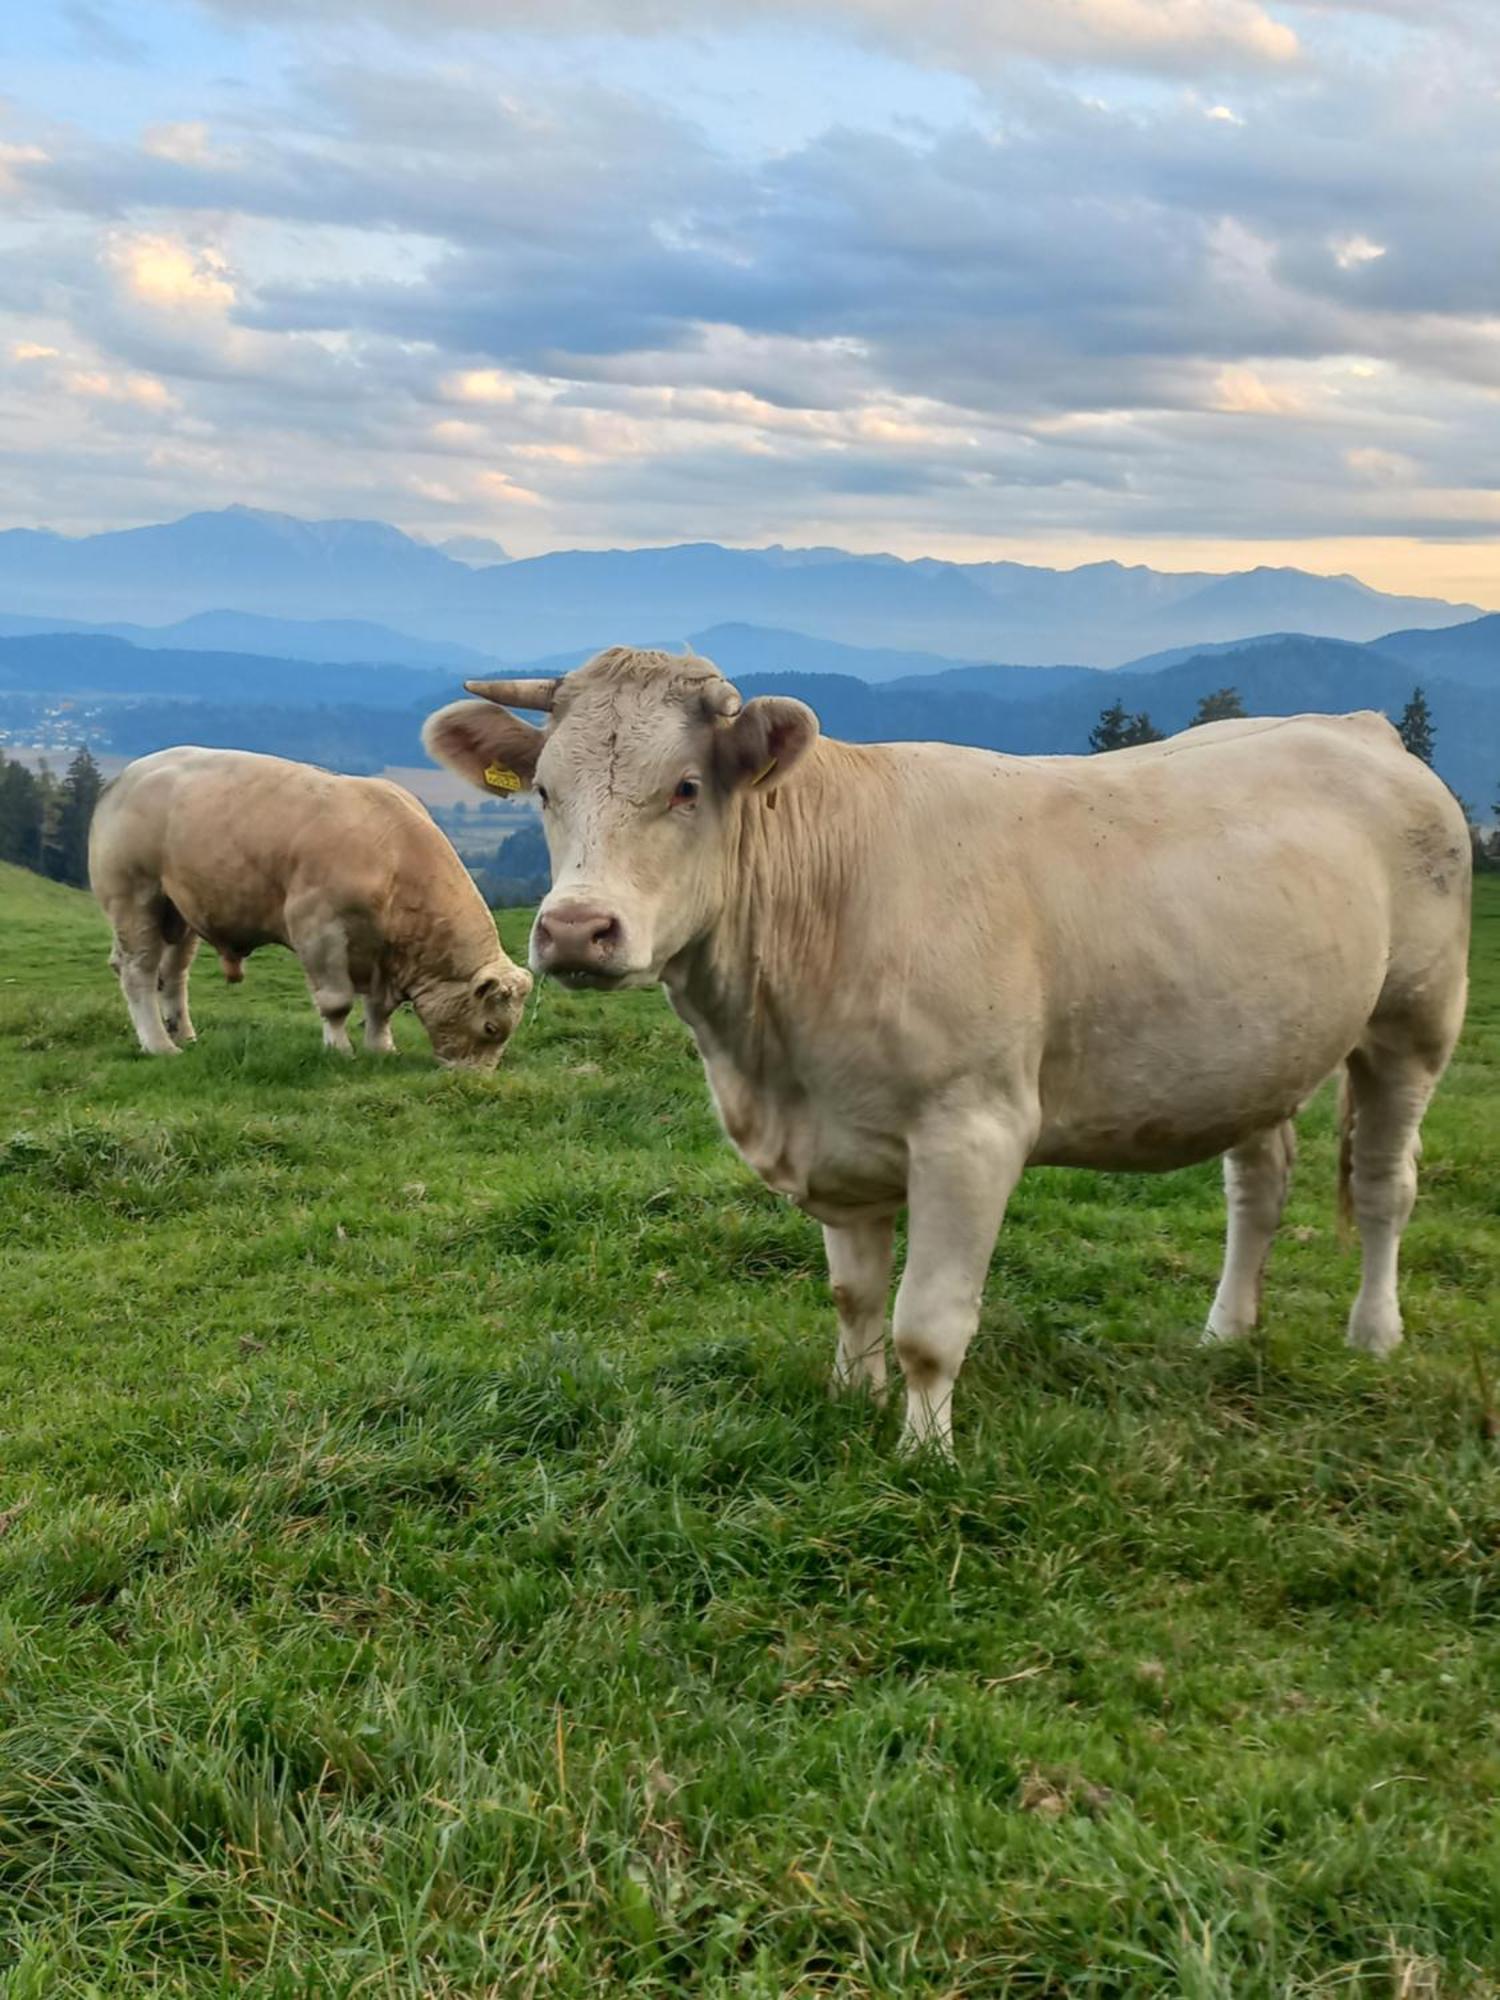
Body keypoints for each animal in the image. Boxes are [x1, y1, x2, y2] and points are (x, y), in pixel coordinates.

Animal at [89, 748, 536, 1064]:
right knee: (139, 971)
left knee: (172, 975)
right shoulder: (318, 929)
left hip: (179, 911)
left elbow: (380, 1009)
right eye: (491, 1028)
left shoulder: (383, 957)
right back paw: (160, 1045)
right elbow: (337, 1001)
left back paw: (183, 1033)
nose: (475, 1077)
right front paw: (340, 1049)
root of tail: (127, 776)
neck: (394, 858)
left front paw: (381, 1047)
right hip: (134, 897)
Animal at [426, 656, 1480, 1456]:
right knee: (1260, 1180)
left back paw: (1373, 1335)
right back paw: (1226, 1332)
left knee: (1385, 1183)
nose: (574, 930)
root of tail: (1359, 727)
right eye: (547, 792)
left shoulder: (971, 1131)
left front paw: (923, 1452)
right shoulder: (835, 1138)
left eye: (686, 788)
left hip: (1415, 1019)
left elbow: (927, 1324)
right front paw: (851, 1400)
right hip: (1257, 1048)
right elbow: (853, 1294)